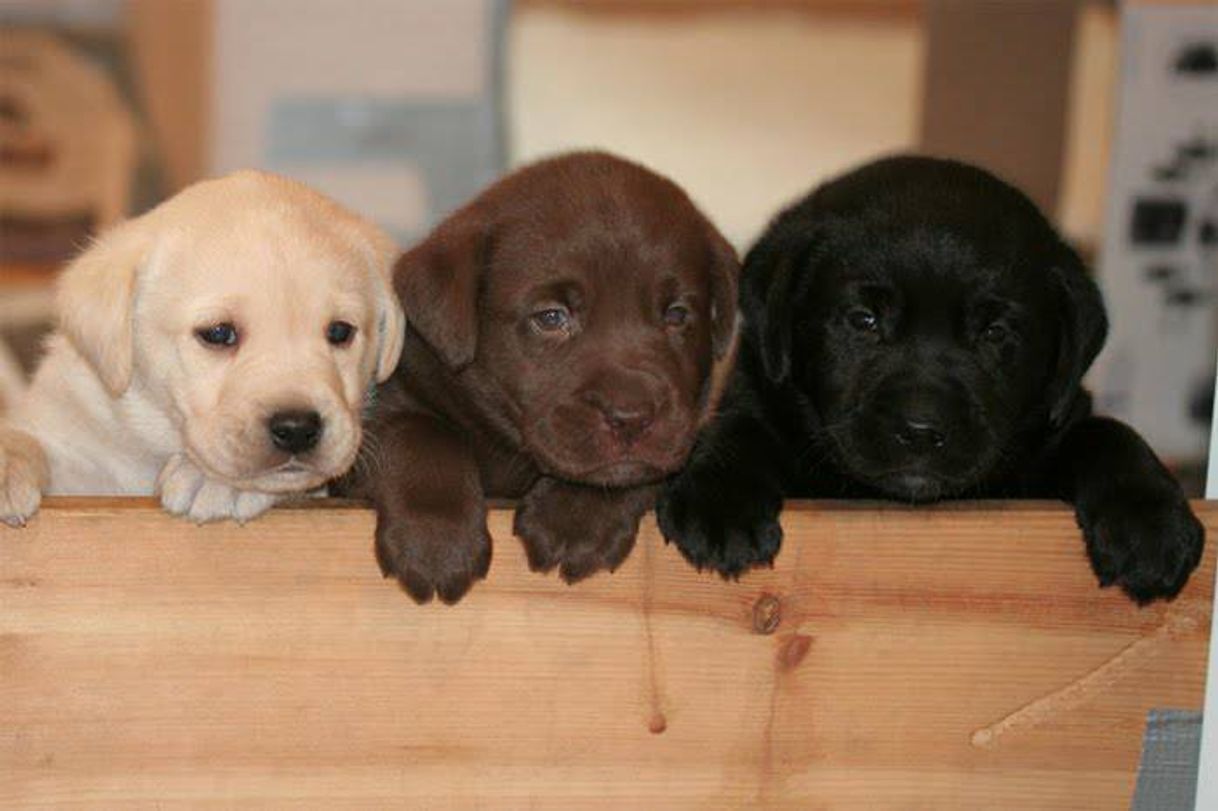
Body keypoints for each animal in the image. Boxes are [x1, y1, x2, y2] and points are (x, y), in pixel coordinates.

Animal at [0, 170, 409, 523]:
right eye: (218, 333)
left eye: (340, 331)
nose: (297, 428)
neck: (155, 443)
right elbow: (23, 438)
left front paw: (214, 481)